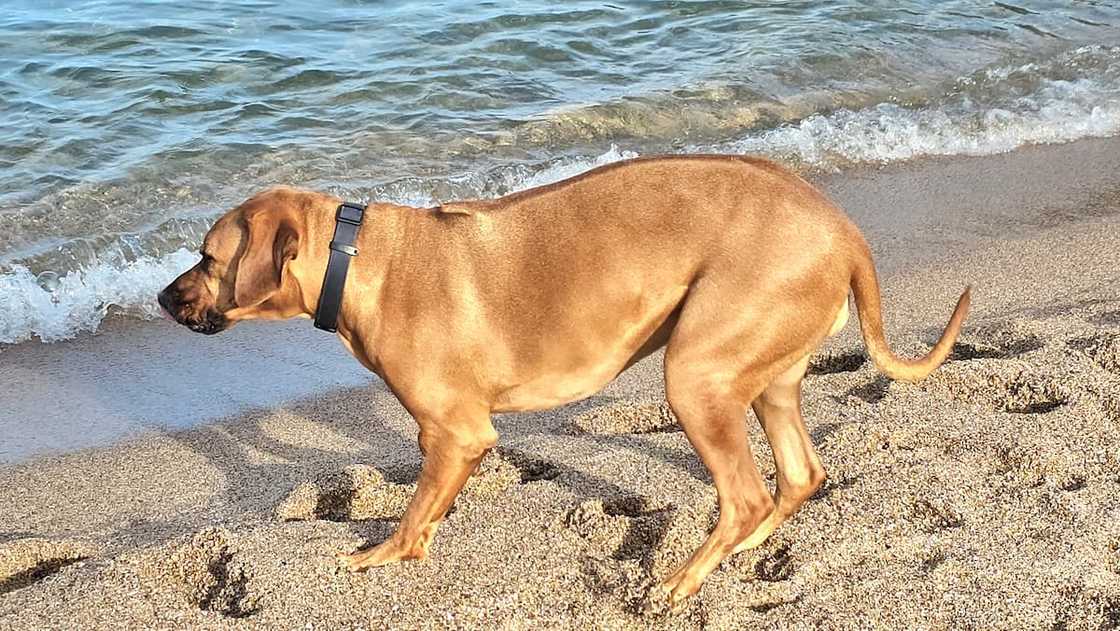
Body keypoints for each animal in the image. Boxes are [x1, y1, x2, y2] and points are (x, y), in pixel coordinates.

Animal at [160, 155, 972, 605]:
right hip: (765, 369)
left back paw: (683, 579)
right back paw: (743, 549)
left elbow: (414, 510)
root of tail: (844, 230)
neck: (355, 256)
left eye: (206, 256)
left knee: (745, 493)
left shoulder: (455, 432)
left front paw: (384, 553)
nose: (163, 299)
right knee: (798, 475)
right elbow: (428, 503)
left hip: (697, 372)